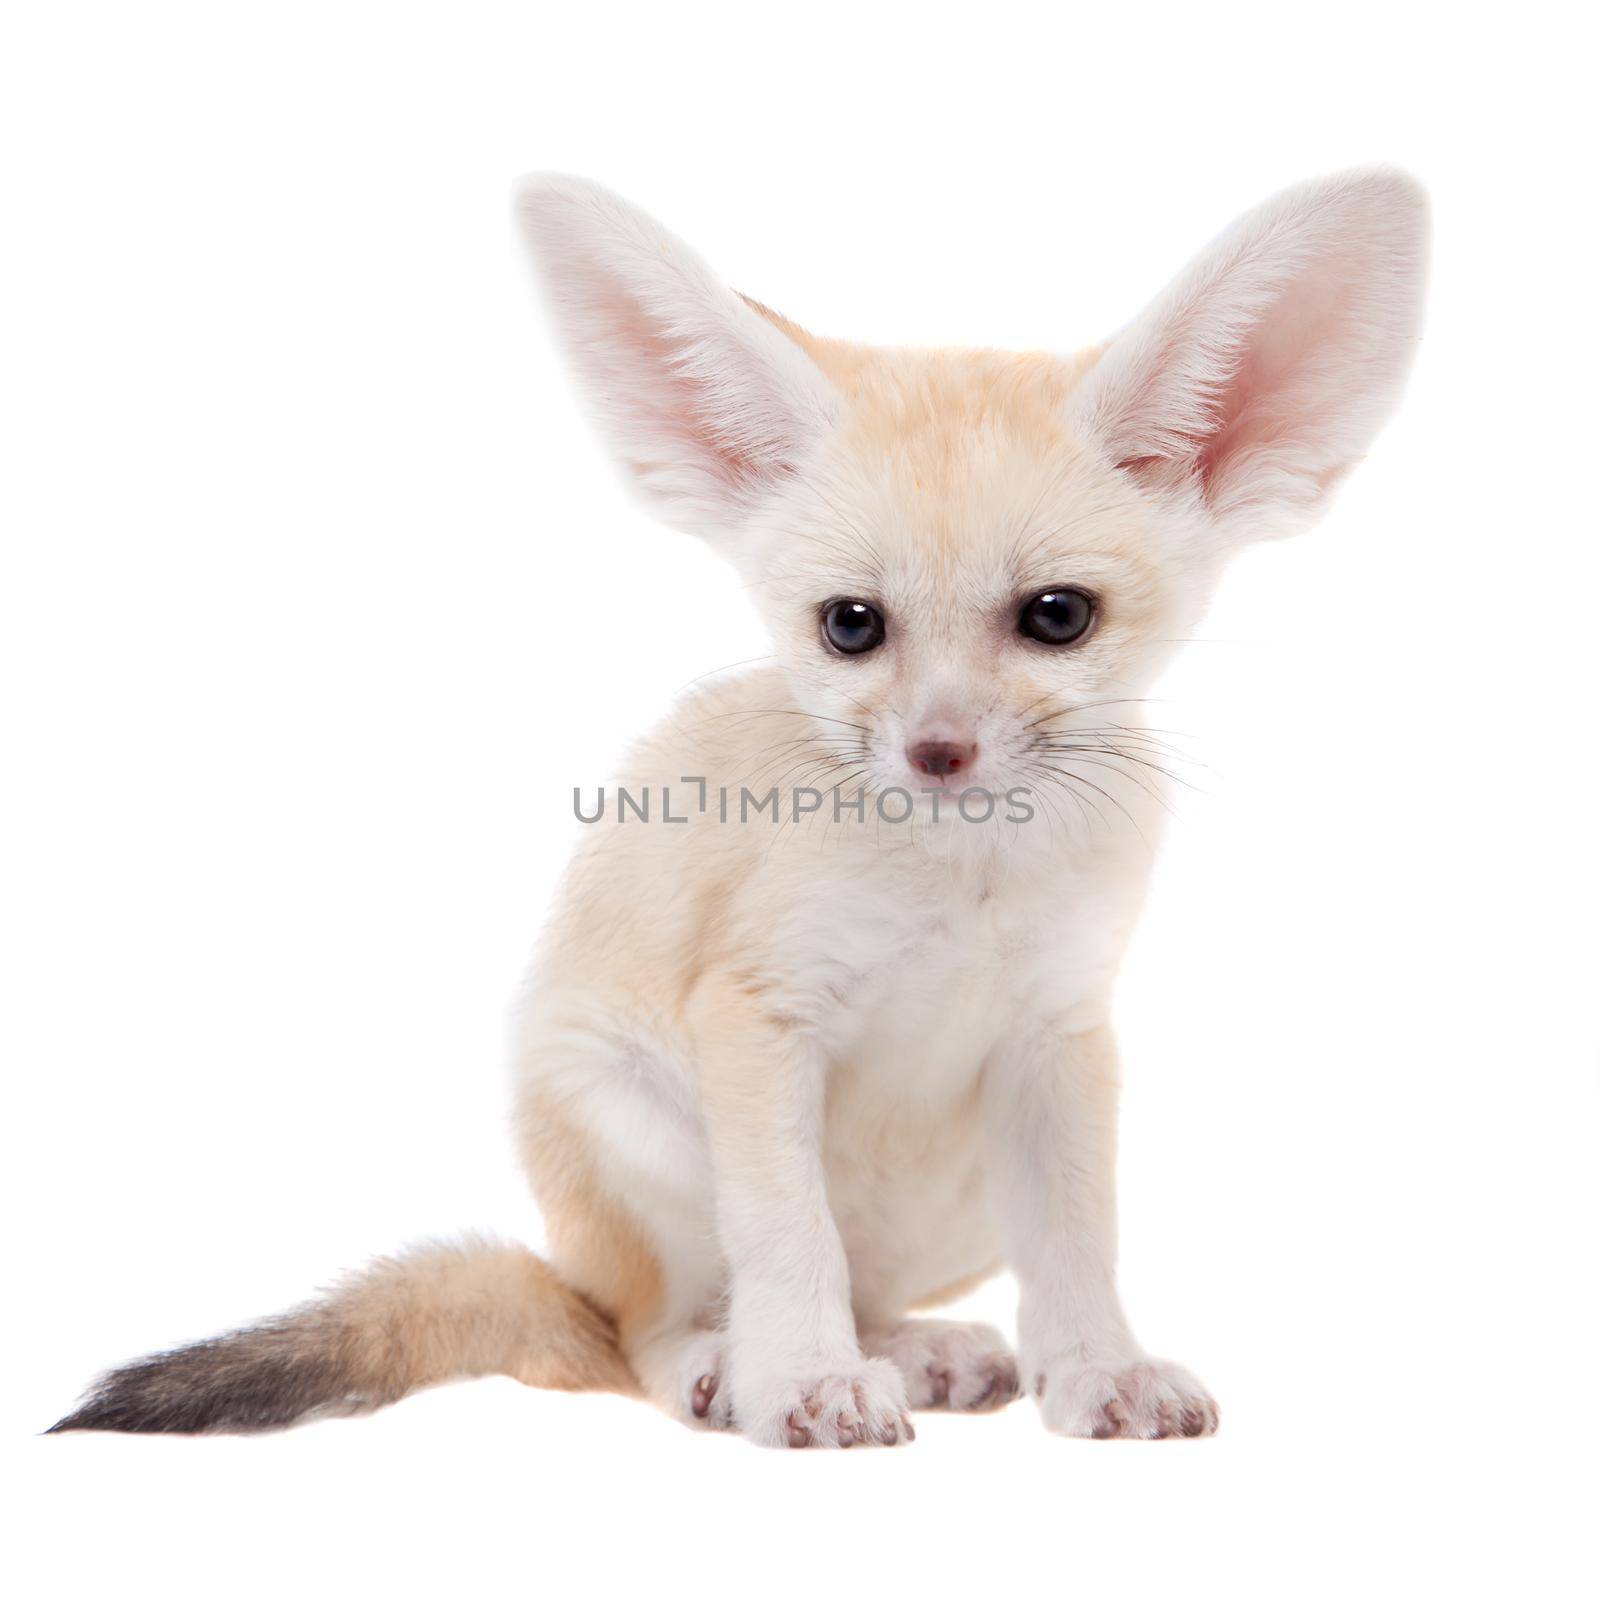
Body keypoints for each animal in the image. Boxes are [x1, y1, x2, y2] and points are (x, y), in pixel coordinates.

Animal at [53, 172, 1427, 1452]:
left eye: (1056, 616)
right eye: (850, 625)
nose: (937, 753)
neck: (962, 881)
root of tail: (575, 1276)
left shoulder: (1061, 1036)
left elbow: (1079, 1241)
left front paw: (1096, 1369)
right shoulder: (759, 1014)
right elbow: (787, 1235)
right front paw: (805, 1381)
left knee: (854, 1287)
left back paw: (909, 1349)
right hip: (636, 1139)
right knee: (640, 1335)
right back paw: (730, 1365)